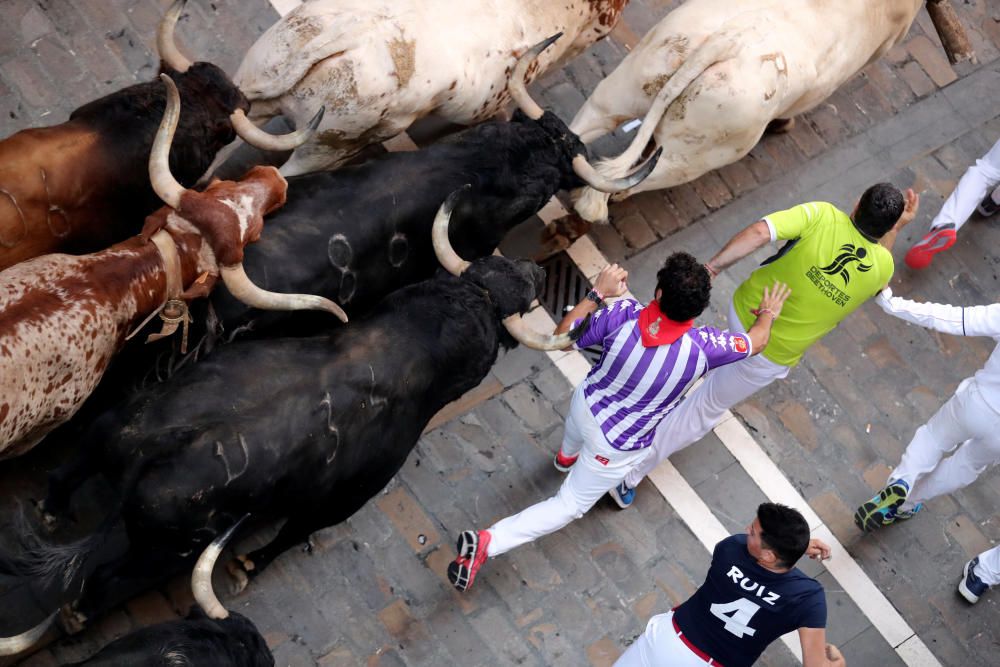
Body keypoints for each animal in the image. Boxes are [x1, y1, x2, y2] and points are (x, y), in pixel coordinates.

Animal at [3, 252, 584, 636]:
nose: (534, 271)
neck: (402, 351)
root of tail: (156, 447)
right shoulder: (346, 498)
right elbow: (294, 532)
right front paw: (247, 567)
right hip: (165, 547)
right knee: (103, 581)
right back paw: (76, 615)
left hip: (114, 427)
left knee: (67, 472)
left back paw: (50, 513)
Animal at [568, 0, 924, 224]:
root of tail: (733, 38)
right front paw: (784, 124)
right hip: (692, 158)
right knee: (635, 182)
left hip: (626, 85)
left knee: (584, 130)